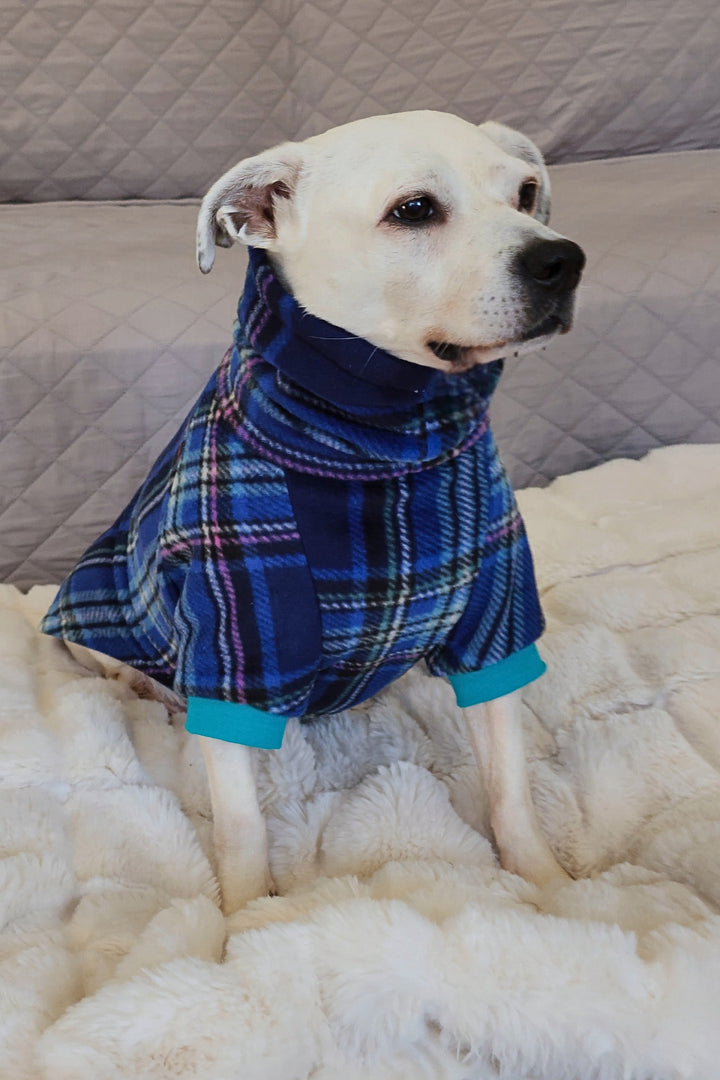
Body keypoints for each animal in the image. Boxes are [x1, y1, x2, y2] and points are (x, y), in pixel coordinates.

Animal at [46, 113, 587, 911]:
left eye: (525, 192)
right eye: (414, 209)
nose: (563, 259)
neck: (381, 448)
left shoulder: (497, 615)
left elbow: (509, 784)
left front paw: (549, 883)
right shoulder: (237, 639)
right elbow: (242, 827)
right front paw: (246, 921)